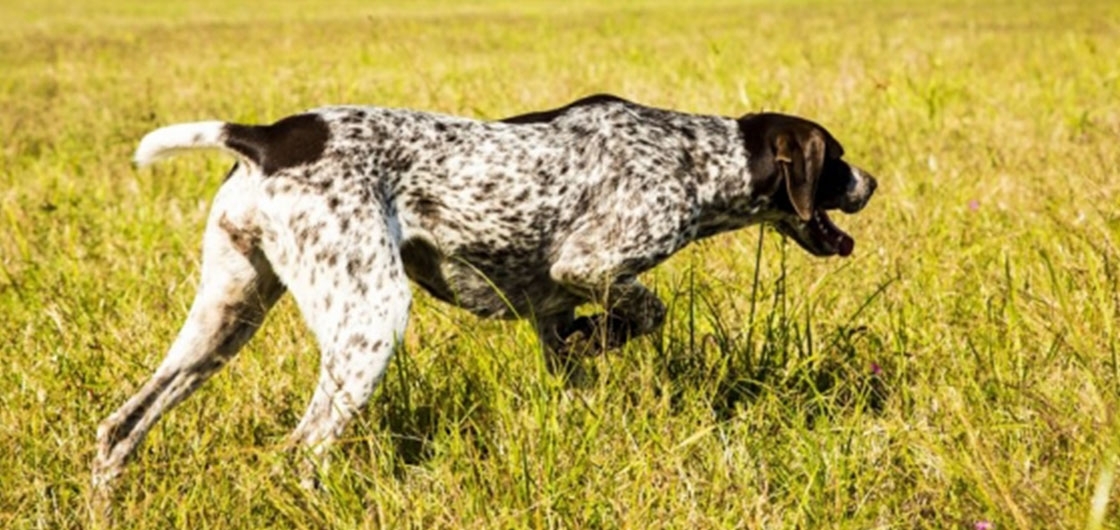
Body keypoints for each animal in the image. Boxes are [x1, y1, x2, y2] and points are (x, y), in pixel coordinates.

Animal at [91, 95, 878, 495]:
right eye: (837, 159)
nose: (870, 183)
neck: (696, 157)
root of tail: (268, 136)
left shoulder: (549, 316)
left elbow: (577, 360)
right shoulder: (590, 263)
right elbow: (648, 308)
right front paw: (609, 331)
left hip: (227, 317)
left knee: (120, 427)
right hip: (370, 320)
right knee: (300, 451)